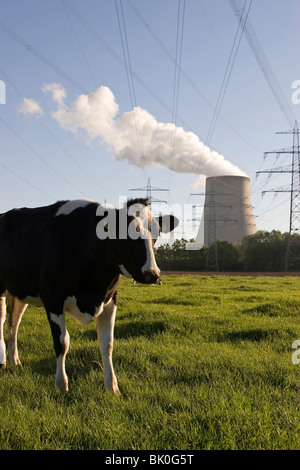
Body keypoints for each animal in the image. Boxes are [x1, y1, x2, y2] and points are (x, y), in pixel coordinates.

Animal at [0, 196, 178, 394]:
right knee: (2, 320)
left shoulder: (110, 300)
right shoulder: (53, 298)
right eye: (124, 233)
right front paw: (61, 384)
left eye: (156, 235)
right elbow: (62, 342)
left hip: (20, 291)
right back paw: (2, 361)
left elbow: (107, 344)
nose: (152, 274)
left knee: (14, 322)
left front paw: (112, 387)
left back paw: (14, 359)